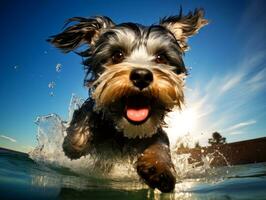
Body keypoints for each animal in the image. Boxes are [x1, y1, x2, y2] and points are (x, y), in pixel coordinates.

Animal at [48, 8, 209, 192]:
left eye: (161, 57)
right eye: (117, 55)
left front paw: (158, 167)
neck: (126, 131)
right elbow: (85, 117)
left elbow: (160, 145)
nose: (142, 76)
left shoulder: (154, 132)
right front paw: (75, 143)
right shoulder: (94, 109)